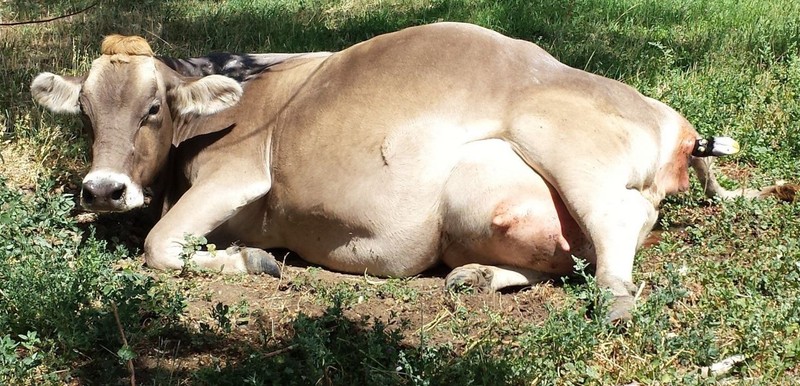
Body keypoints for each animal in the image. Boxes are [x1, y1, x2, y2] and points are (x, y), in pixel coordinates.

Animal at [29, 22, 768, 322]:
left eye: (153, 108)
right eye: (85, 114)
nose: (103, 188)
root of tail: (669, 118)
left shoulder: (241, 173)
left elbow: (159, 246)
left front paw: (255, 261)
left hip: (561, 139)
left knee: (615, 222)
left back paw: (615, 300)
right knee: (569, 251)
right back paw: (478, 278)